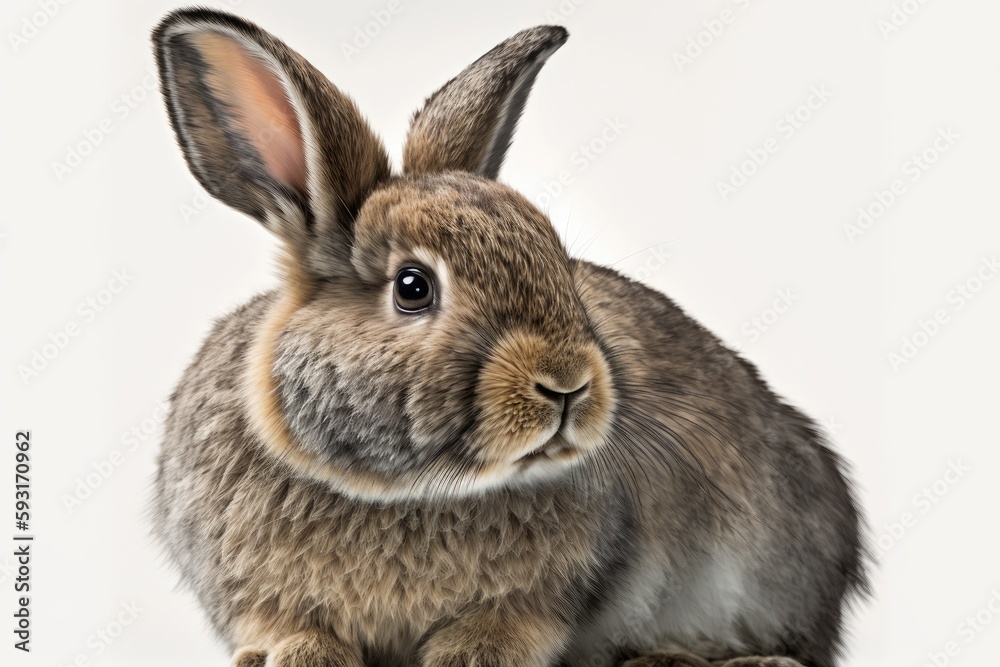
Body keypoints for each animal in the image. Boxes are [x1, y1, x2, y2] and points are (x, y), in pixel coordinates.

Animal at [151, 8, 868, 667]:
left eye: (558, 260)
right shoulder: (250, 591)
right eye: (412, 286)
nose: (567, 384)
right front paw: (297, 655)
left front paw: (465, 657)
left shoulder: (546, 595)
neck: (410, 491)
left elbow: (504, 628)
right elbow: (288, 626)